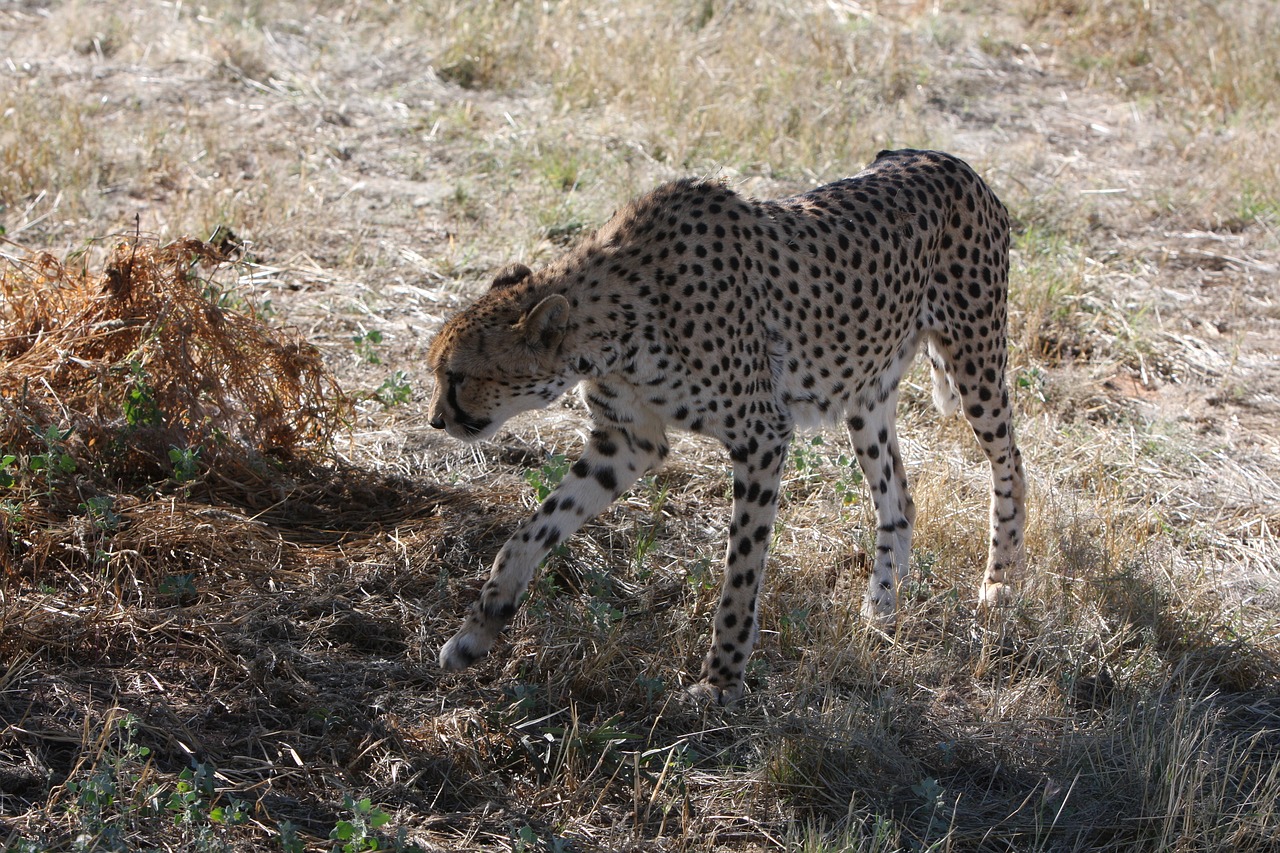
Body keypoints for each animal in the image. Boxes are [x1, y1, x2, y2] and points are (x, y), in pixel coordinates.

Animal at [430, 149, 1029, 701]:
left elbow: (741, 569)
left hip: (975, 358)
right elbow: (532, 530)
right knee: (898, 497)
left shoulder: (761, 435)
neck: (610, 326)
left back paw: (1000, 584)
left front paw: (722, 679)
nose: (438, 421)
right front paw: (477, 631)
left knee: (1011, 463)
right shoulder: (627, 441)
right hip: (865, 387)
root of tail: (940, 157)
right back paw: (882, 606)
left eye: (457, 375)